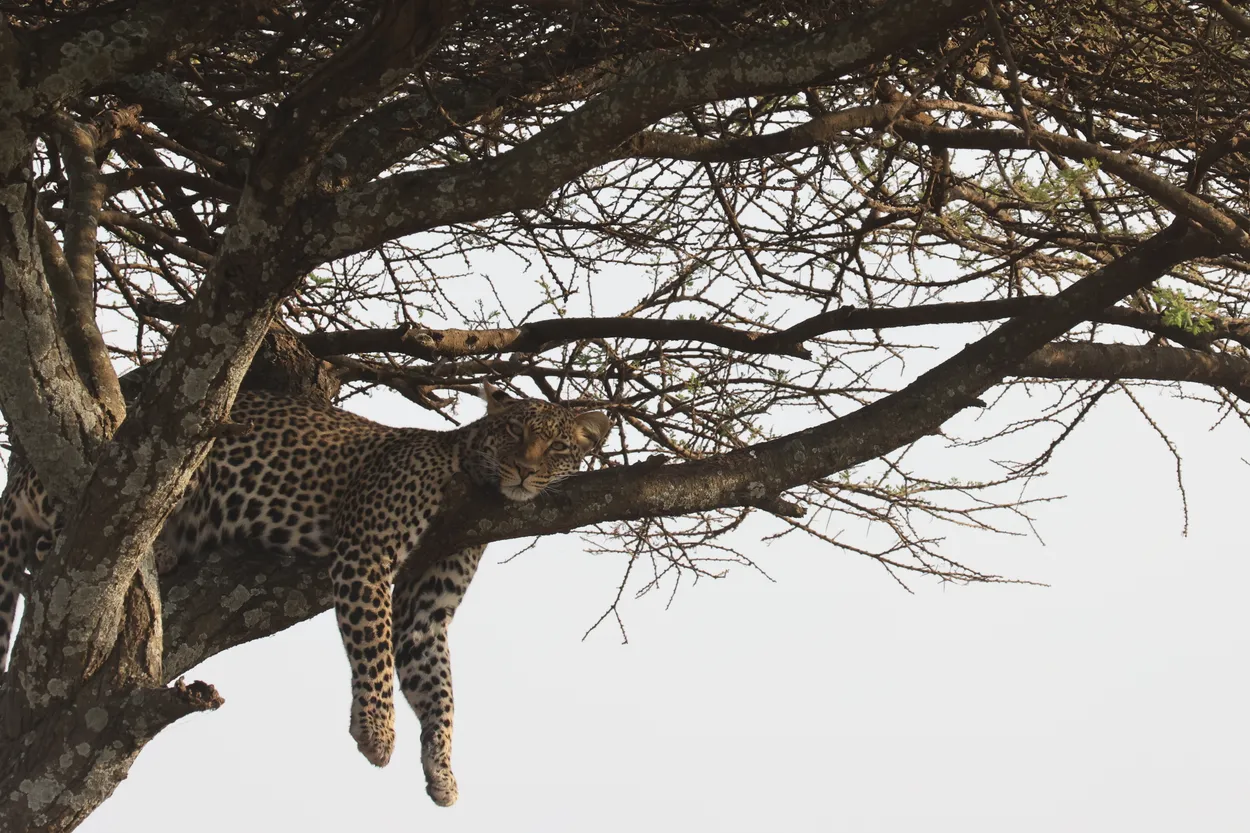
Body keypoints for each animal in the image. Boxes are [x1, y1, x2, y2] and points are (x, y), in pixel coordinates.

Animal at [0, 385, 611, 807]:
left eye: (556, 445)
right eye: (511, 433)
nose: (523, 469)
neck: (468, 481)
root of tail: (19, 467)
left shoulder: (425, 612)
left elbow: (440, 691)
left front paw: (442, 772)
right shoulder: (365, 553)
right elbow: (374, 653)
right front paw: (376, 734)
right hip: (129, 479)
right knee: (61, 546)